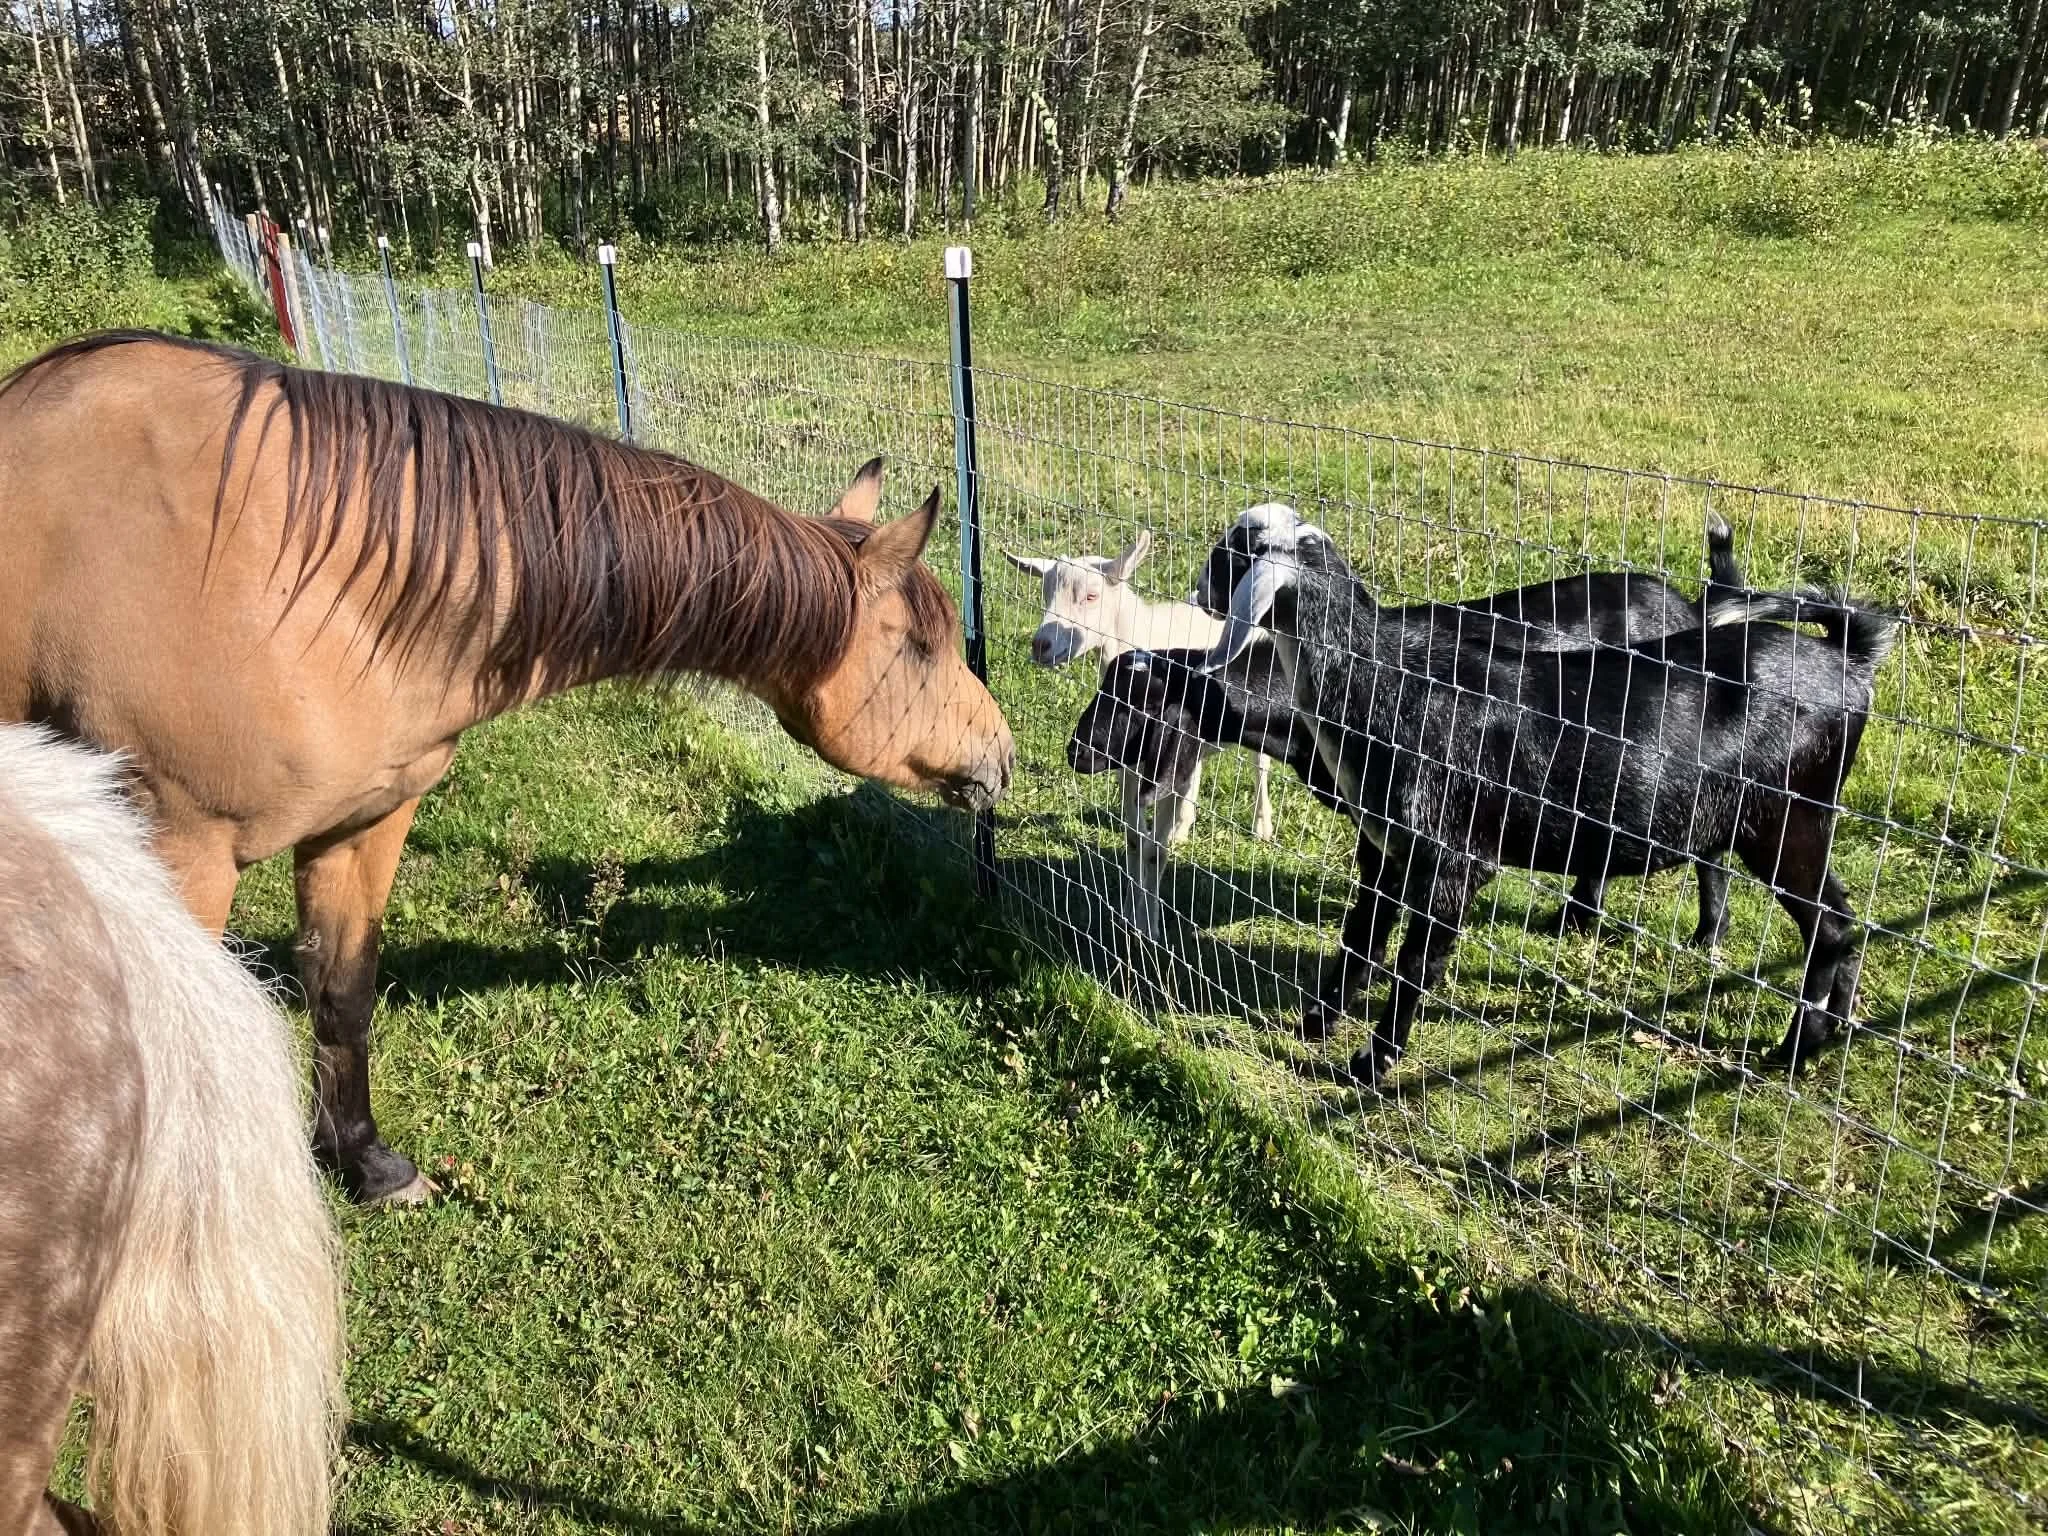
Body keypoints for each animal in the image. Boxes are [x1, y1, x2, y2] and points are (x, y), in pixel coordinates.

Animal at [1194, 502, 1750, 946]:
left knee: (1710, 855)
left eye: (1232, 553)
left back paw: (1703, 935)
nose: (1196, 591)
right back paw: (1578, 922)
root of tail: (1691, 610)